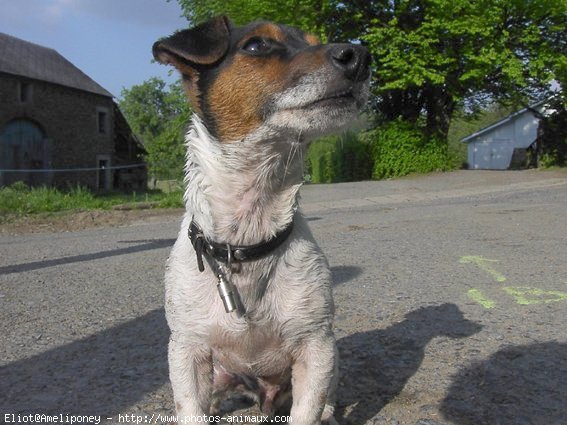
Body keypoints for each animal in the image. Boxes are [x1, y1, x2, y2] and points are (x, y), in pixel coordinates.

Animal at [153, 16, 370, 424]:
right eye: (256, 45)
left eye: (315, 40)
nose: (361, 56)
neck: (246, 241)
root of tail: (263, 397)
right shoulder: (187, 351)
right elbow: (190, 408)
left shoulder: (317, 347)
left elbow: (307, 412)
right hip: (219, 373)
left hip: (331, 364)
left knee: (327, 400)